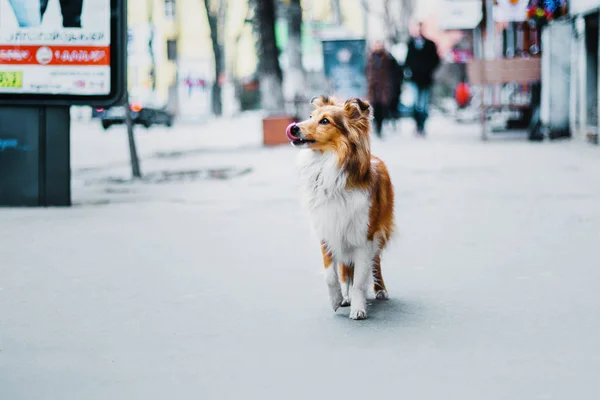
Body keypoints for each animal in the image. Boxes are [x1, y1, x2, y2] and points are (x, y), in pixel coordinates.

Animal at [288, 95, 396, 320]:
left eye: (325, 121)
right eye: (310, 116)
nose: (293, 128)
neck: (329, 162)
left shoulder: (363, 236)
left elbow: (360, 279)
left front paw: (358, 308)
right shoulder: (328, 229)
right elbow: (331, 275)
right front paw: (337, 299)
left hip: (377, 232)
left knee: (375, 262)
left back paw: (380, 289)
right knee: (346, 270)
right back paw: (345, 296)